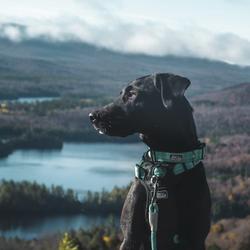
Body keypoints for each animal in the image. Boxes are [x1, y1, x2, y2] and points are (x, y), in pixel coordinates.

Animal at [90, 73, 211, 249]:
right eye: (121, 94)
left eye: (132, 94)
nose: (92, 116)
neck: (166, 162)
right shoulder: (130, 237)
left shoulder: (196, 238)